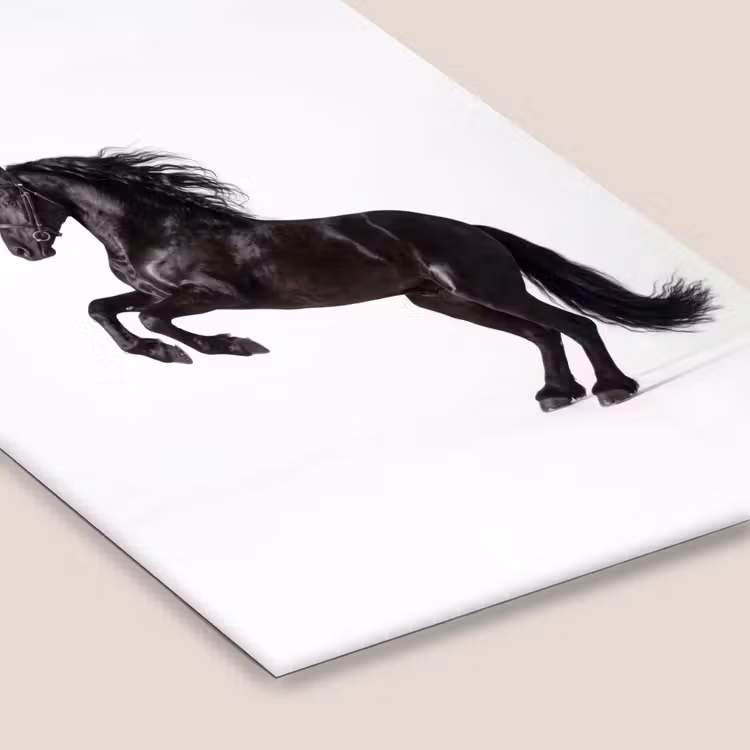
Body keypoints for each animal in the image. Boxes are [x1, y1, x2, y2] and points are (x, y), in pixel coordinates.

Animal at [0, 148, 717, 412]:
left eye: (8, 196)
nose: (24, 252)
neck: (159, 227)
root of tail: (475, 229)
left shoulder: (211, 297)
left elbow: (150, 317)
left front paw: (231, 347)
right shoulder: (154, 292)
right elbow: (103, 309)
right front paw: (166, 354)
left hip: (482, 289)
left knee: (574, 322)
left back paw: (614, 390)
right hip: (449, 303)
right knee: (543, 333)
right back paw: (556, 396)